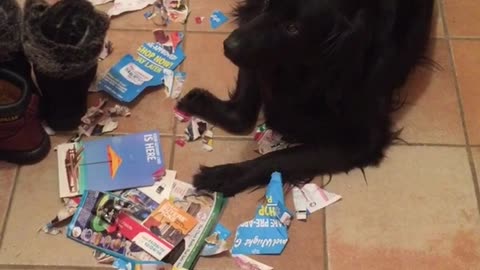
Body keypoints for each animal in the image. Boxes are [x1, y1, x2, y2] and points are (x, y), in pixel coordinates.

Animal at [177, 0, 436, 196]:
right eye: (269, 4)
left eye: (293, 28)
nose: (228, 46)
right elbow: (242, 114)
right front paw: (200, 102)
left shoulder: (363, 141)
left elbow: (278, 158)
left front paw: (226, 175)